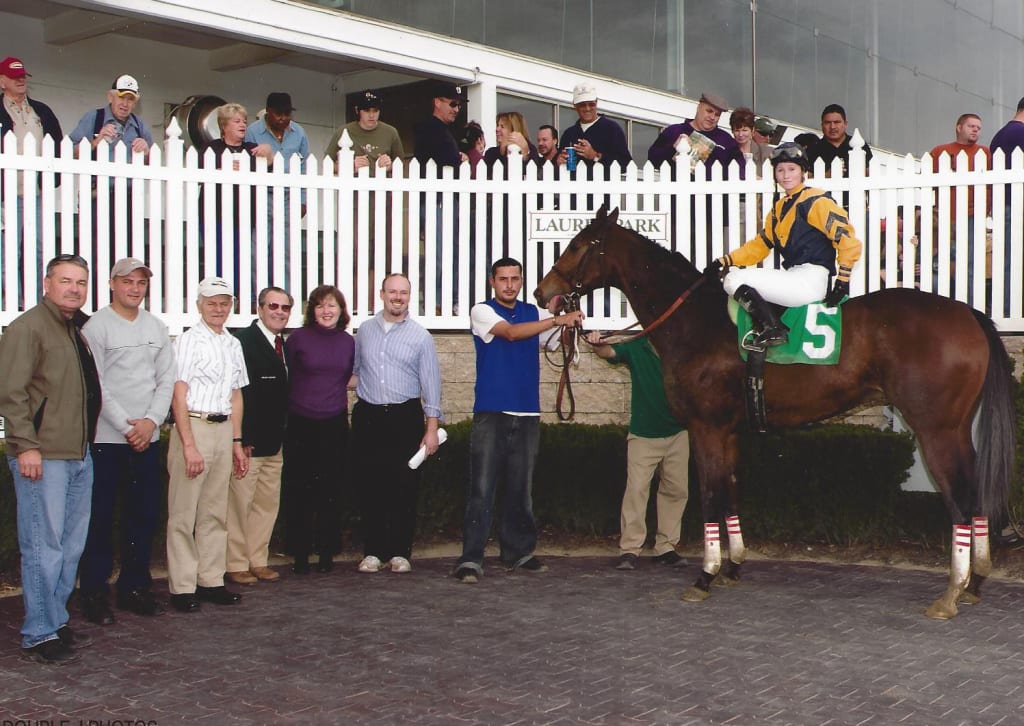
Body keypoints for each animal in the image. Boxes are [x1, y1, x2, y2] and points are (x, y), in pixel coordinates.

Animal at [536, 205, 1015, 618]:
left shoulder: (706, 428)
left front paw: (705, 575)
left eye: (578, 245)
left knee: (961, 497)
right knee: (975, 492)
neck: (697, 321)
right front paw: (732, 567)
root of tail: (968, 313)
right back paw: (974, 582)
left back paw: (951, 591)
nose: (543, 292)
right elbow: (729, 493)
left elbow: (710, 496)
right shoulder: (728, 431)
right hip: (955, 429)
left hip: (935, 430)